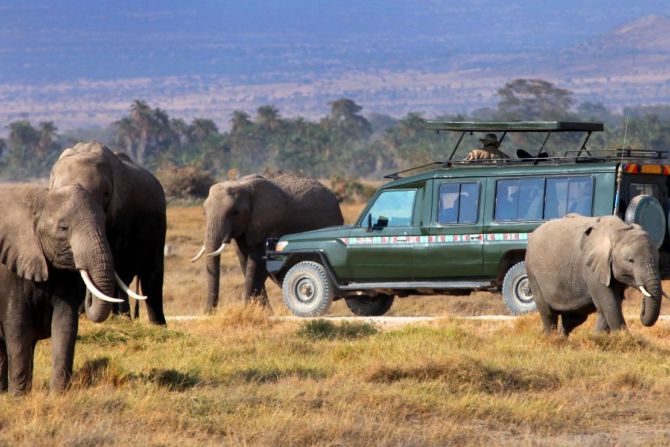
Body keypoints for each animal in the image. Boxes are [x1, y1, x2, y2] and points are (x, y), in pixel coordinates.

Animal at [0, 184, 141, 393]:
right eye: (63, 228)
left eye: (104, 224)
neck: (40, 197)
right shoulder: (9, 272)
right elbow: (18, 327)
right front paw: (19, 396)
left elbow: (65, 325)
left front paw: (57, 394)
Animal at [192, 173, 344, 312]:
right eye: (204, 212)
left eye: (235, 213)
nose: (209, 313)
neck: (241, 184)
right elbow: (245, 261)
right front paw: (262, 312)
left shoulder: (269, 223)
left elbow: (258, 262)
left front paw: (248, 309)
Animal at [526, 214, 665, 336]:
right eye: (630, 260)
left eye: (658, 259)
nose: (643, 302)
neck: (618, 229)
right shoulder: (590, 268)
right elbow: (609, 303)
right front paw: (623, 338)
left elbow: (611, 305)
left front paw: (597, 336)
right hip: (532, 272)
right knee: (548, 314)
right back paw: (551, 339)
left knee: (574, 318)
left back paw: (561, 338)